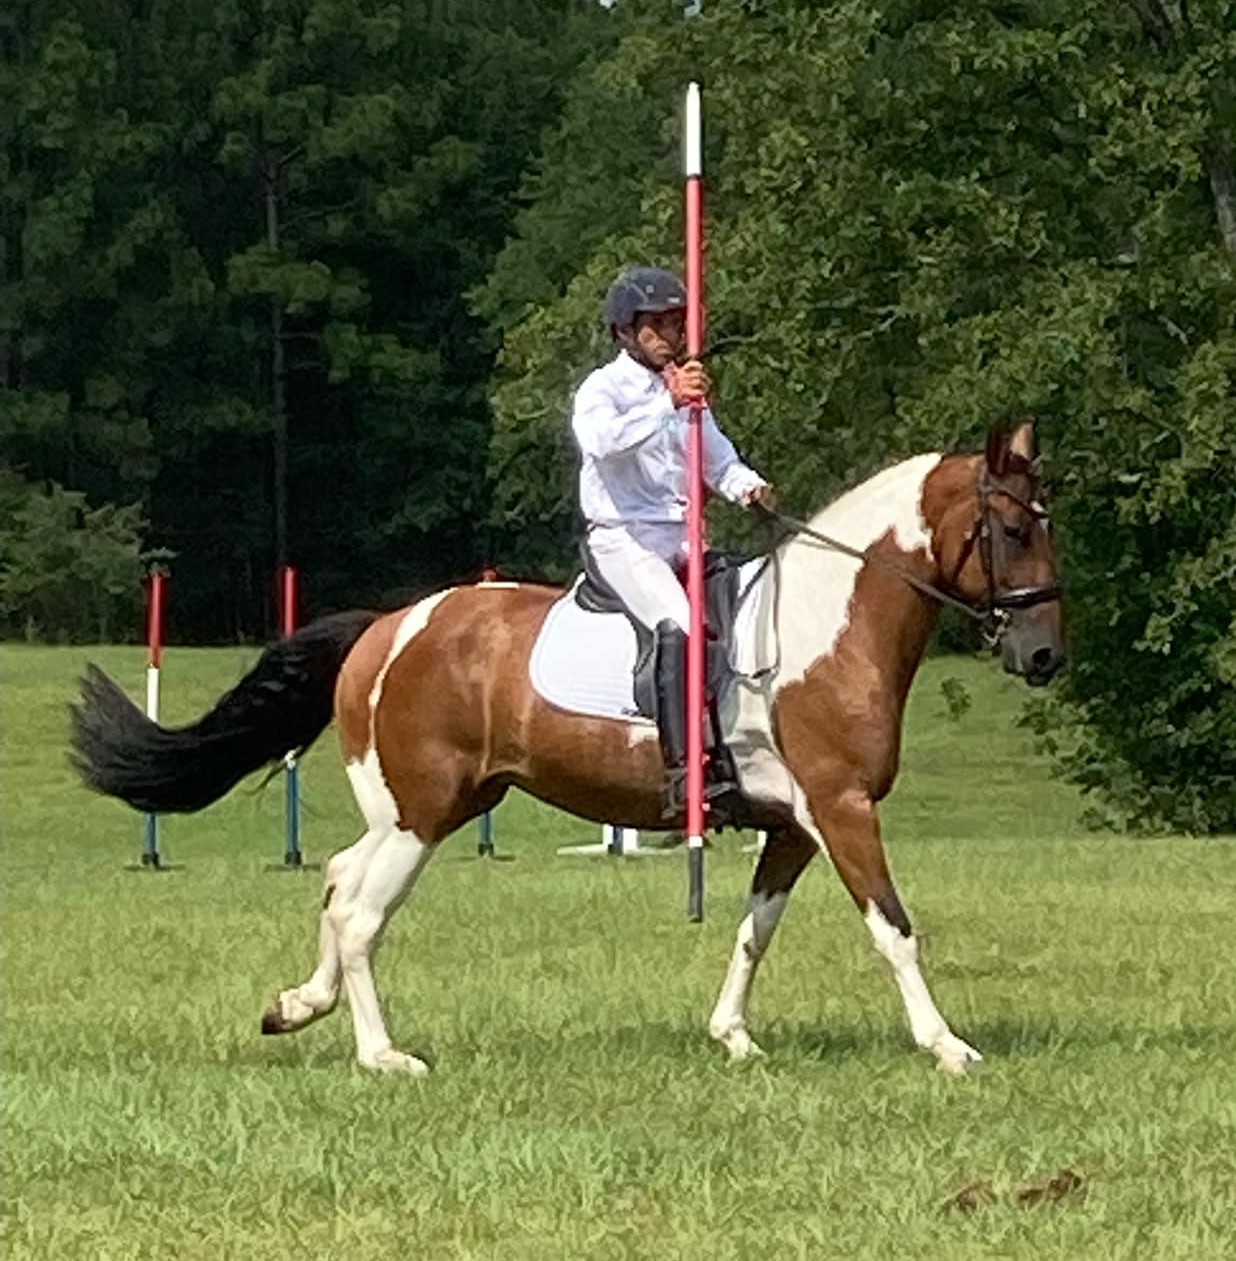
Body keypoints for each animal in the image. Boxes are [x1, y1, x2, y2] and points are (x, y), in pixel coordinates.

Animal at [74, 421, 1064, 1074]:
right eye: (1015, 529)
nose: (1044, 655)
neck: (828, 621)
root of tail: (387, 626)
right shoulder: (842, 808)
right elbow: (894, 927)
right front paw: (947, 1045)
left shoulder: (790, 825)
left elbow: (755, 928)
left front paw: (733, 1035)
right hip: (423, 814)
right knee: (359, 912)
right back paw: (383, 1054)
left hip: (422, 809)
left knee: (338, 880)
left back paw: (297, 1007)